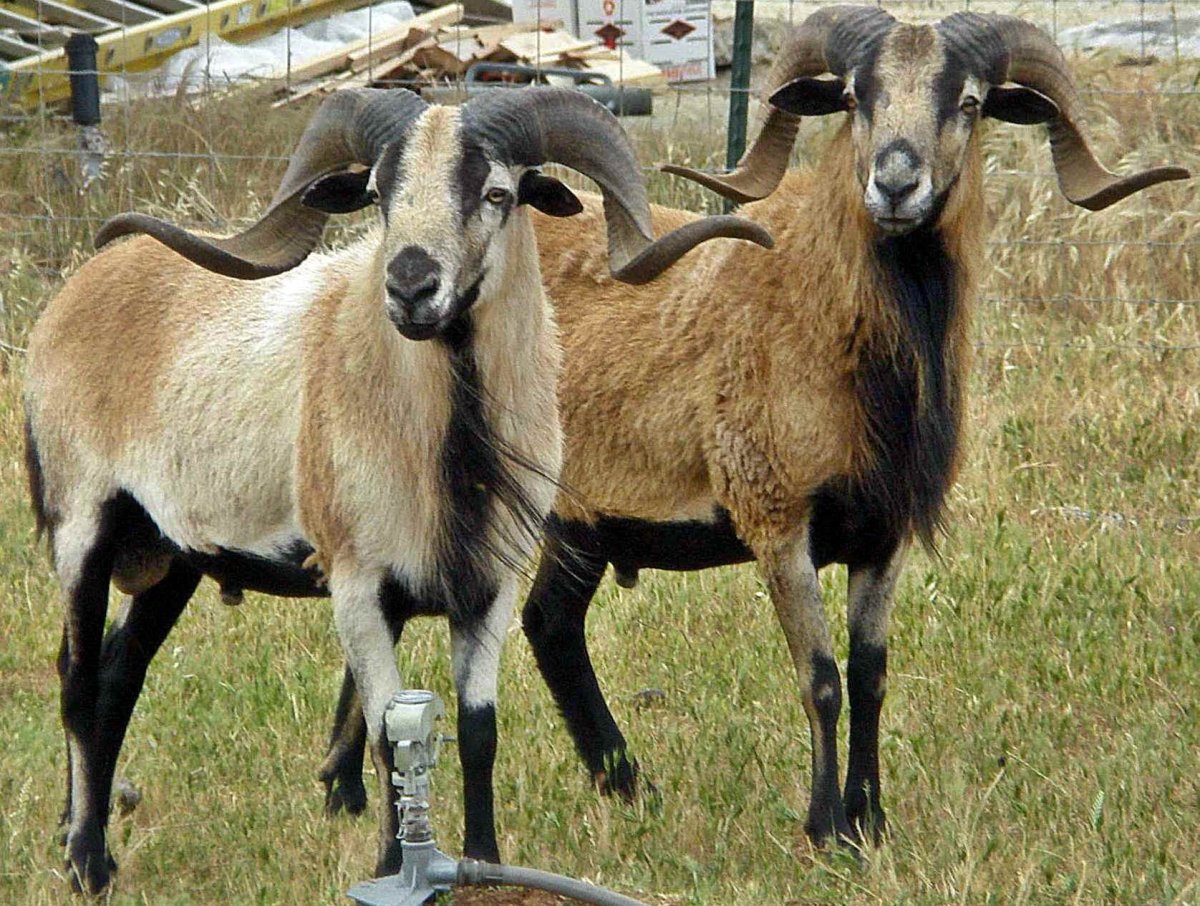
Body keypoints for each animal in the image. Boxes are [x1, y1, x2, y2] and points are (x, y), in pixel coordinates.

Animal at [23, 85, 773, 895]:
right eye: (379, 195)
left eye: (498, 193)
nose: (411, 286)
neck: (448, 457)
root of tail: (81, 287)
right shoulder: (358, 585)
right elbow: (389, 734)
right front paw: (391, 867)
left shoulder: (487, 586)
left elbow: (478, 731)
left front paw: (486, 866)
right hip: (83, 524)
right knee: (78, 684)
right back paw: (87, 862)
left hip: (172, 557)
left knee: (118, 680)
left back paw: (86, 839)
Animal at [314, 7, 1190, 852]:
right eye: (855, 97)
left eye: (969, 103)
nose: (896, 183)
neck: (831, 326)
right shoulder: (777, 517)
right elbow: (822, 680)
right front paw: (828, 831)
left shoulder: (883, 534)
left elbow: (871, 676)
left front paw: (874, 822)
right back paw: (357, 791)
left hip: (576, 523)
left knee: (548, 628)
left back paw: (618, 786)